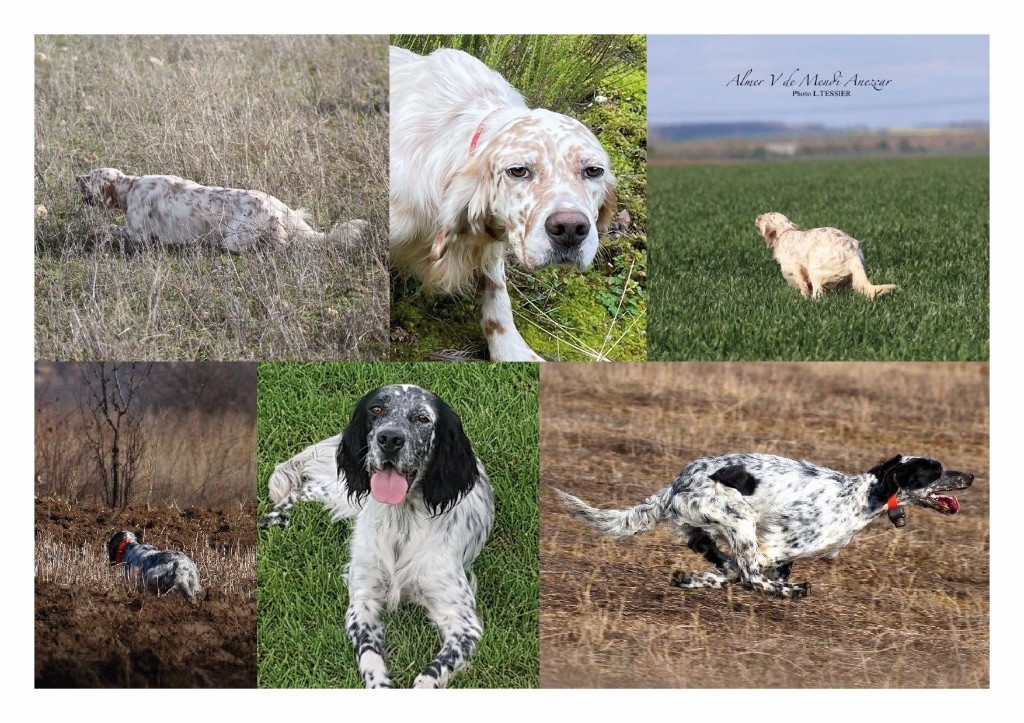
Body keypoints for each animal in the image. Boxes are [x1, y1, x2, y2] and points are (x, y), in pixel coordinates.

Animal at [77, 166, 370, 253]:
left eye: (91, 176)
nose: (75, 177)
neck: (131, 187)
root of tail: (274, 203)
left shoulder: (139, 235)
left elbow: (110, 227)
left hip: (234, 239)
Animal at [557, 450, 970, 598]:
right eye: (936, 470)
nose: (971, 476)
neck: (862, 495)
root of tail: (677, 483)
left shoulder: (780, 553)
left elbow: (735, 570)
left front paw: (691, 579)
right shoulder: (778, 544)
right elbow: (749, 572)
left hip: (710, 525)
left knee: (714, 554)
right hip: (738, 518)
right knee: (749, 574)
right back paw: (790, 591)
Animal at [757, 209, 901, 299]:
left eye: (764, 216)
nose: (757, 216)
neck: (785, 234)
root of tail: (852, 255)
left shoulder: (796, 268)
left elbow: (803, 285)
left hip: (814, 266)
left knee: (818, 293)